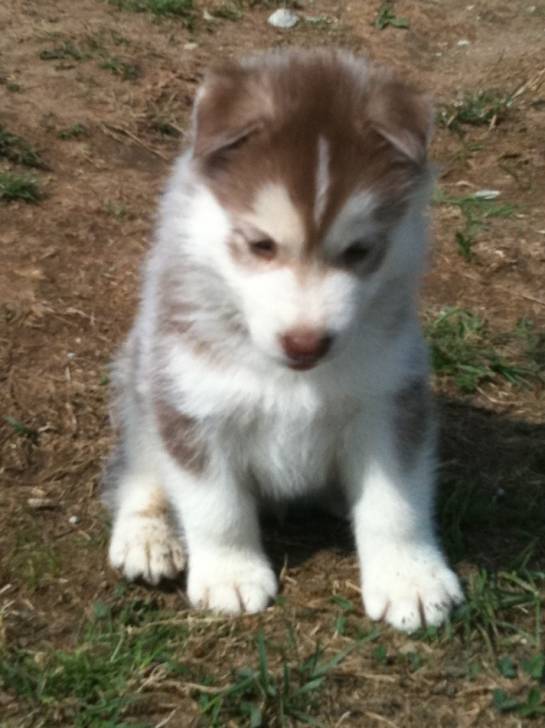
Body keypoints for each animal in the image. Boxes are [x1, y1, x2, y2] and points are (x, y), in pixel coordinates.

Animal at [102, 49, 460, 632]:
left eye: (359, 251)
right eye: (260, 245)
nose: (305, 343)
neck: (289, 377)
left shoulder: (390, 398)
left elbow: (396, 502)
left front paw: (410, 578)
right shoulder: (191, 404)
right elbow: (217, 507)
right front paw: (230, 574)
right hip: (141, 379)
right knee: (139, 466)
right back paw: (148, 534)